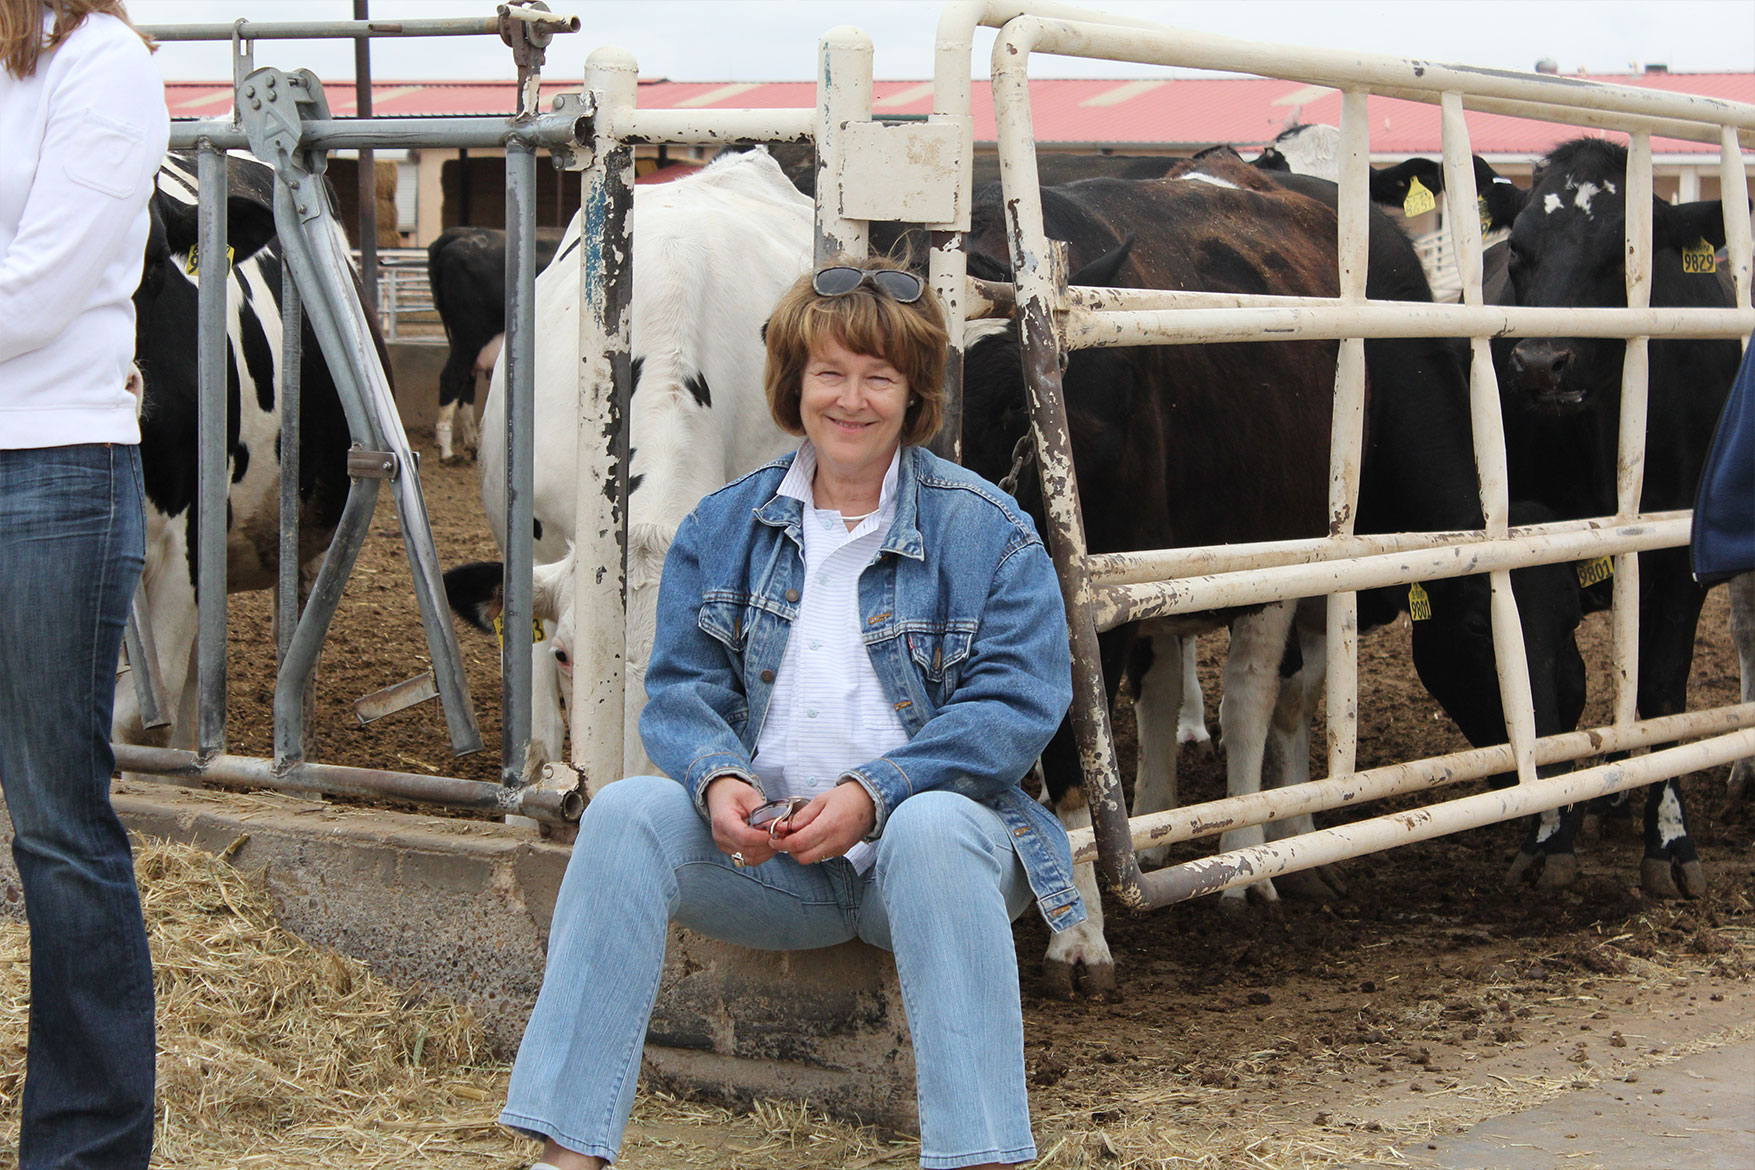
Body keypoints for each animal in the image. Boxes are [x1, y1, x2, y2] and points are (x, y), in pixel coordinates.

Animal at [424, 224, 561, 463]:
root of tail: (462, 233)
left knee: (466, 383)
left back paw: (472, 444)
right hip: (469, 336)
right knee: (451, 378)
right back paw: (447, 450)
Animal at [961, 150, 1593, 996]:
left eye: (1570, 622)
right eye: (1473, 627)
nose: (1550, 778)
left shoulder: (1288, 567)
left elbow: (1264, 702)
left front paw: (1267, 844)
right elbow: (1212, 706)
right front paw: (1099, 924)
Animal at [1474, 137, 1747, 891]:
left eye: (1627, 256)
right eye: (1519, 250)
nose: (1540, 362)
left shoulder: (1679, 558)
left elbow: (1661, 686)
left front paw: (1670, 840)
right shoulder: (1529, 548)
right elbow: (1550, 689)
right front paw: (1548, 833)